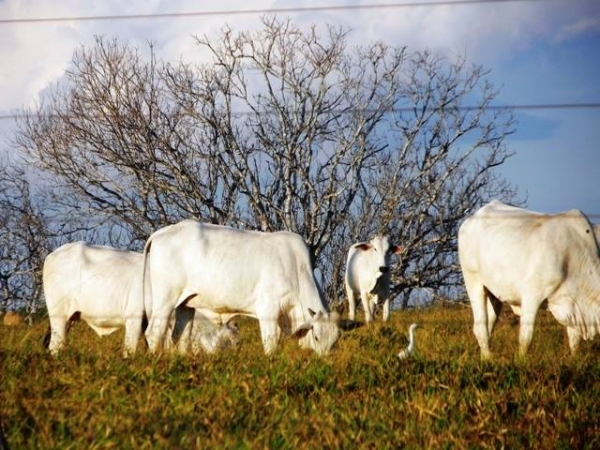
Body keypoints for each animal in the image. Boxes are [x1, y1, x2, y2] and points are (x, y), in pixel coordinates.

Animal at [140, 221, 338, 356]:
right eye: (316, 336)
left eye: (335, 341)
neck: (297, 269)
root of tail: (162, 232)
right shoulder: (268, 311)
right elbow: (271, 344)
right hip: (166, 299)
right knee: (154, 333)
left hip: (186, 304)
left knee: (180, 337)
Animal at [458, 200, 600, 358]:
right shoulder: (532, 295)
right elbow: (526, 337)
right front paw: (521, 360)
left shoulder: (572, 303)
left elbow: (574, 340)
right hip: (474, 282)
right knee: (480, 327)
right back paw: (488, 357)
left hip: (494, 294)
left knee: (489, 326)